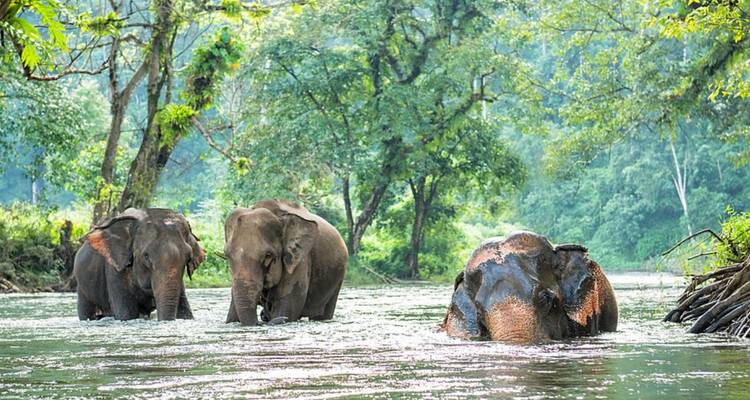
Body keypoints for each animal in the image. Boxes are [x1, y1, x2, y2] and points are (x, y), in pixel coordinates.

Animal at [73, 208, 205, 321]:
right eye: (146, 256)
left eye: (188, 257)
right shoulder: (115, 269)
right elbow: (126, 314)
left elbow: (185, 312)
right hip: (82, 286)